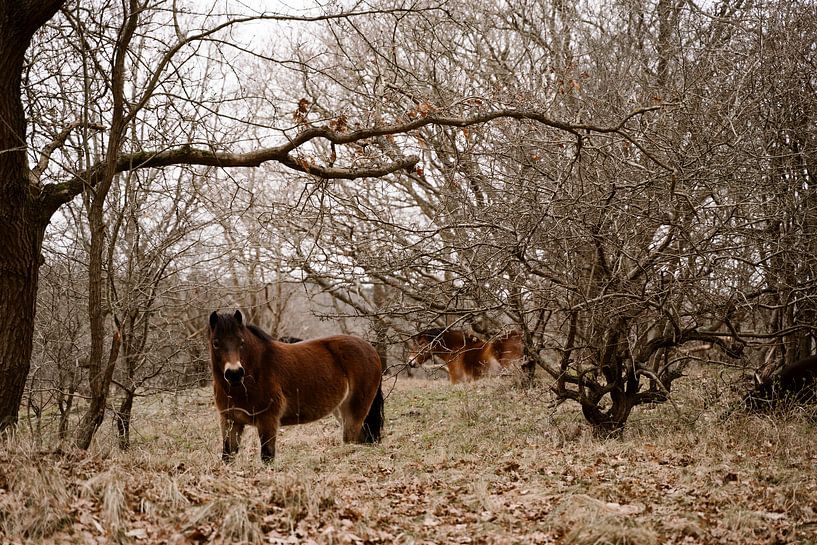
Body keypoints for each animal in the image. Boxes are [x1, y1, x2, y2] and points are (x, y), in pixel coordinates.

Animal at [208, 310, 384, 463]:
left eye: (242, 342)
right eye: (215, 343)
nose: (234, 373)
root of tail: (371, 349)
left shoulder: (267, 421)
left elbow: (267, 456)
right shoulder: (230, 422)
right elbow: (227, 456)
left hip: (354, 413)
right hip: (341, 411)